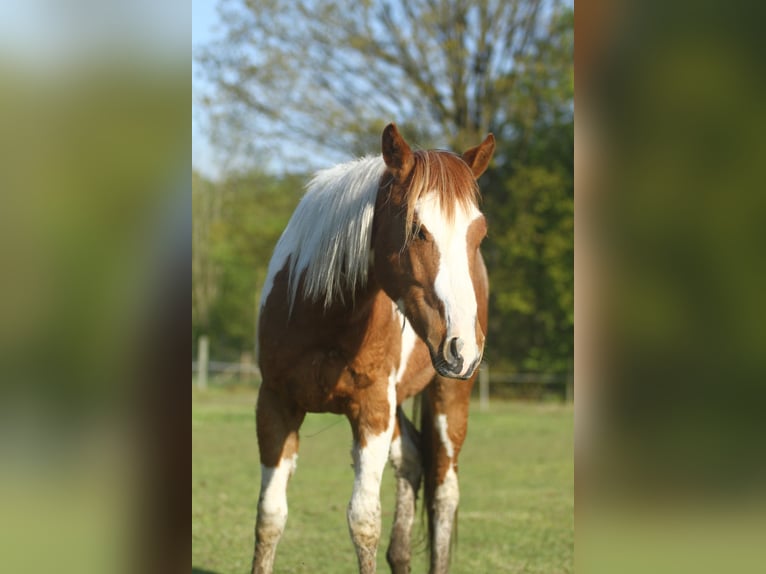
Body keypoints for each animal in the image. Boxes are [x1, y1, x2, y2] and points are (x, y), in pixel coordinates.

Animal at [255, 126, 496, 574]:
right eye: (417, 229)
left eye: (479, 233)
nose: (463, 347)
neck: (322, 316)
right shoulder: (275, 405)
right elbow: (270, 517)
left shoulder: (372, 411)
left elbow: (363, 521)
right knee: (413, 461)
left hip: (449, 396)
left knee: (444, 490)